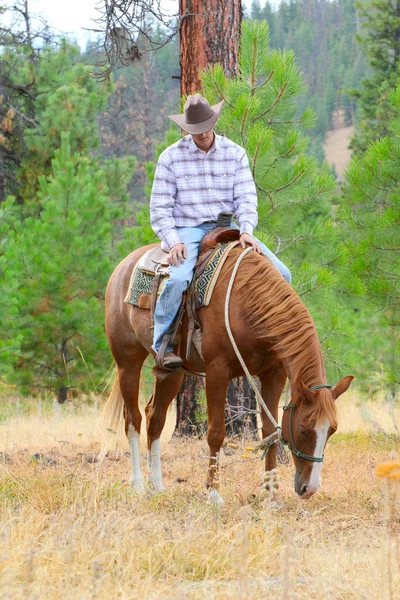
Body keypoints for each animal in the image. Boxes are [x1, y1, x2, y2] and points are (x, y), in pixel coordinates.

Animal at [103, 243, 354, 502]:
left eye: (332, 430)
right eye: (304, 429)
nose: (309, 489)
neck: (247, 303)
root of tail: (124, 266)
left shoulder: (274, 374)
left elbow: (269, 432)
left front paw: (271, 496)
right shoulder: (217, 371)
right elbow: (216, 432)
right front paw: (214, 493)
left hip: (172, 372)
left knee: (155, 418)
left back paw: (157, 486)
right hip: (128, 362)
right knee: (133, 419)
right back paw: (138, 484)